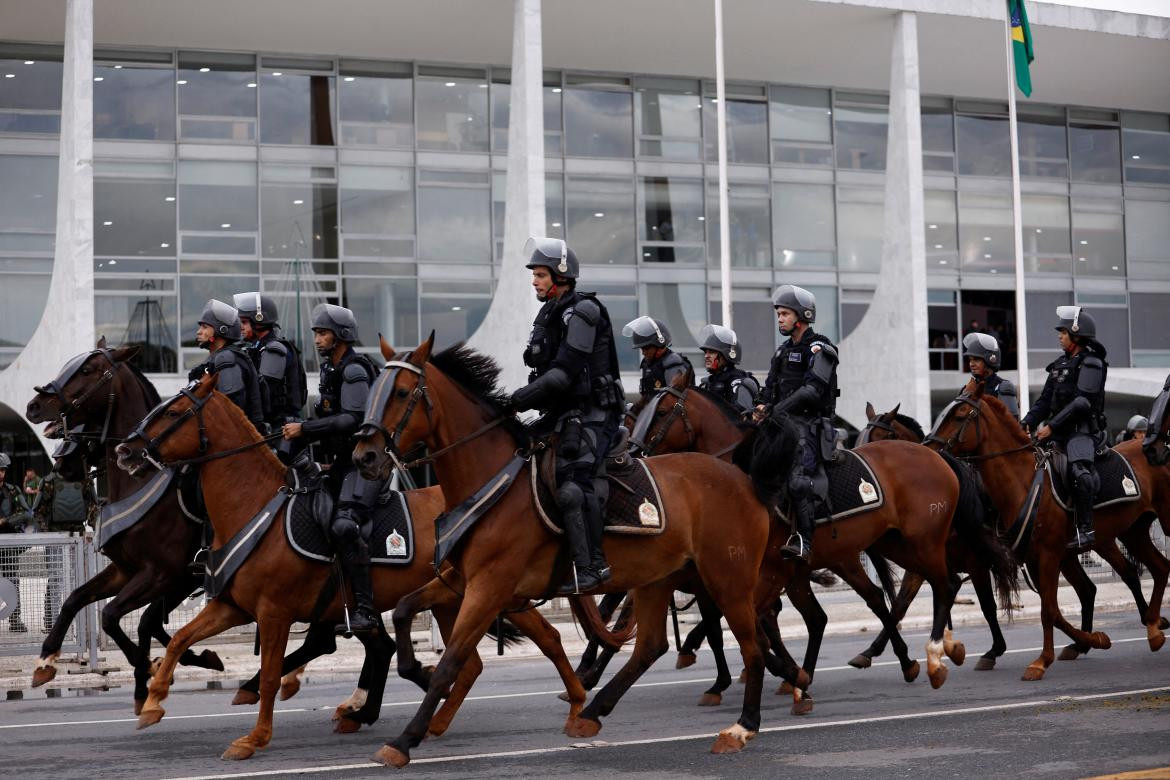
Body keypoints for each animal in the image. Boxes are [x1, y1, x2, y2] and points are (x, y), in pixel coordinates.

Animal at [117, 374, 585, 757]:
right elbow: (179, 640)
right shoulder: (232, 607)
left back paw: (576, 703)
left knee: (547, 639)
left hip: (496, 591)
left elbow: (269, 674)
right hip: (454, 601)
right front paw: (154, 699)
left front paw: (254, 737)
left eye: (172, 412)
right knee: (469, 663)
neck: (255, 505)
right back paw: (428, 719)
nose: (125, 449)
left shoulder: (273, 614)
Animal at [351, 336, 781, 762]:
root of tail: (742, 478)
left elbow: (451, 660)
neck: (492, 479)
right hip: (658, 579)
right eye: (374, 391)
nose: (364, 457)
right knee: (651, 646)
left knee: (752, 645)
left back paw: (743, 726)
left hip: (728, 579)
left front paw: (405, 738)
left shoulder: (490, 587)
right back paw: (590, 713)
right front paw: (414, 673)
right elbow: (404, 610)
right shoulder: (462, 579)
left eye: (401, 392)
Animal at [921, 378, 1170, 678]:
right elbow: (1051, 609)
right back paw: (1152, 628)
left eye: (959, 416)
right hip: (1131, 533)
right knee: (1155, 569)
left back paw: (1150, 624)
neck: (1023, 481)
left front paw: (1040, 661)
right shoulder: (1031, 558)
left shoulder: (1042, 556)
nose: (927, 449)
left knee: (1132, 574)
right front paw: (1094, 639)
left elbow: (1044, 611)